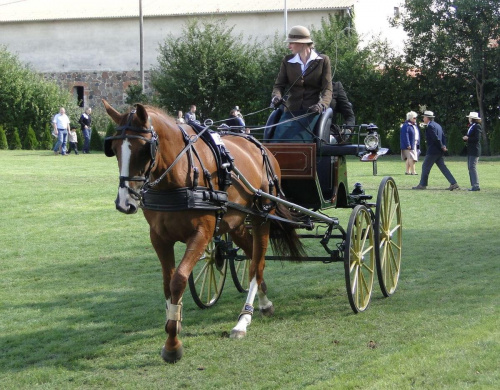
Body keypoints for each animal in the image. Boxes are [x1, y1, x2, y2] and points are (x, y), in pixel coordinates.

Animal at [103, 100, 302, 362]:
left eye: (145, 149)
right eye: (114, 148)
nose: (124, 203)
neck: (178, 175)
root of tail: (261, 147)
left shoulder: (201, 234)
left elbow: (178, 280)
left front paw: (173, 344)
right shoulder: (159, 238)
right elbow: (167, 284)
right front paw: (173, 323)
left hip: (262, 218)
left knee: (256, 263)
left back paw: (244, 319)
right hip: (235, 223)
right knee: (251, 256)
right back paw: (264, 301)